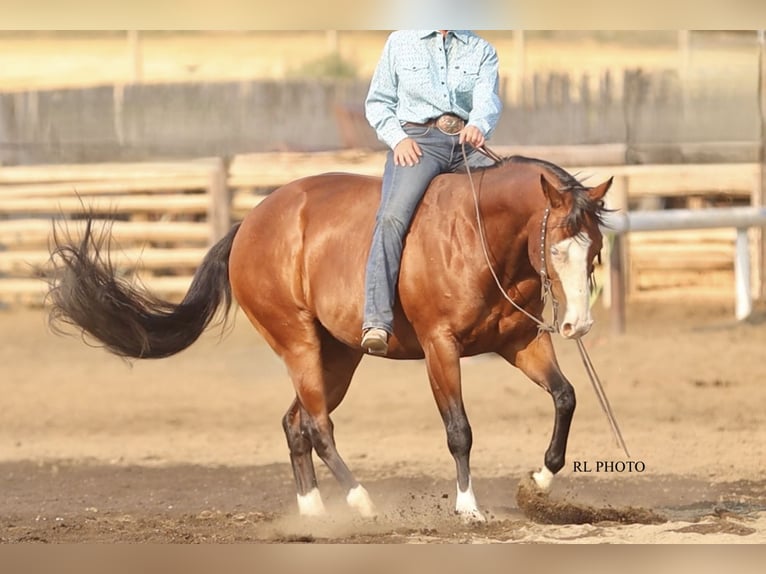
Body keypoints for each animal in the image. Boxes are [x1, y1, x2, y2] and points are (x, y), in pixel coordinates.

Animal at [47, 155, 611, 522]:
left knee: (295, 422)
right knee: (318, 426)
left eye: (596, 248)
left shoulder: (520, 342)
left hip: (337, 356)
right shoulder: (440, 349)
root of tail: (249, 223)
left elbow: (566, 396)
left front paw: (540, 481)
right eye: (557, 248)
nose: (578, 326)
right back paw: (360, 502)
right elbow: (459, 430)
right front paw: (469, 507)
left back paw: (314, 511)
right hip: (298, 343)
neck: (476, 236)